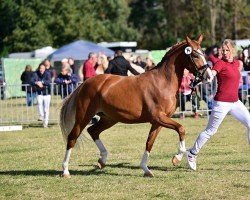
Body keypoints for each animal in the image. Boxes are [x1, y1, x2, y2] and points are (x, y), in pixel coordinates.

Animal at [60, 35, 211, 177]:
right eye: (195, 55)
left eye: (203, 52)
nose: (209, 76)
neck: (162, 82)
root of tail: (85, 84)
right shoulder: (159, 117)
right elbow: (181, 129)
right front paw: (177, 158)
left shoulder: (158, 122)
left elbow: (149, 142)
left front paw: (146, 169)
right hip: (84, 117)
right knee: (73, 137)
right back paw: (66, 170)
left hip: (110, 118)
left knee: (93, 131)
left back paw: (102, 160)